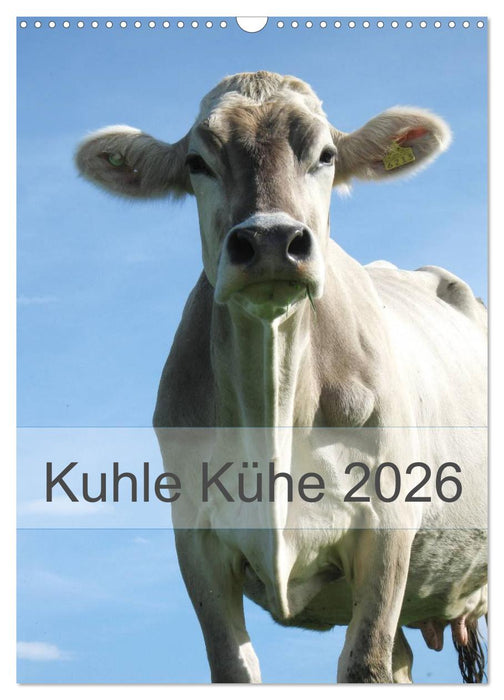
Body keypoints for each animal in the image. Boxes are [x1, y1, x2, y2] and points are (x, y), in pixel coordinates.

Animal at [75, 71, 487, 683]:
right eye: (197, 161)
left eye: (326, 155)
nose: (271, 241)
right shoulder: (196, 538)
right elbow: (236, 666)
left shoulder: (388, 525)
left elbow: (365, 664)